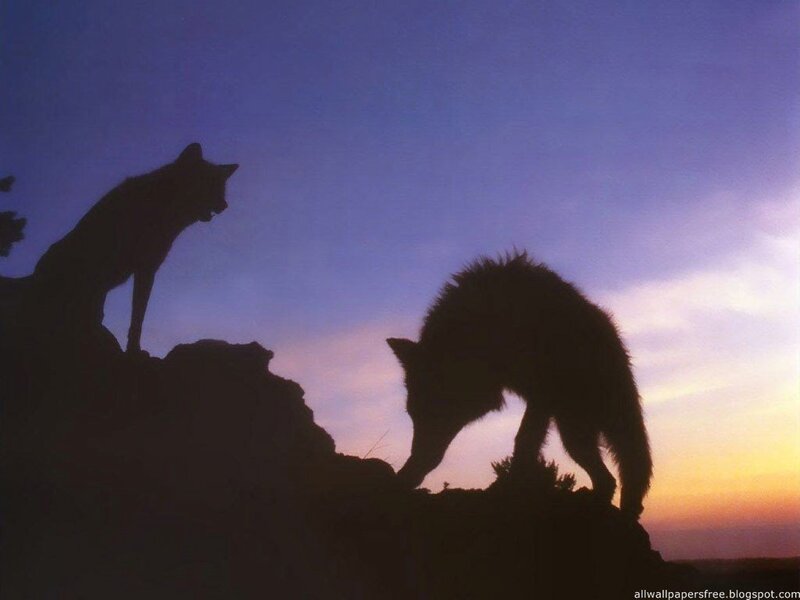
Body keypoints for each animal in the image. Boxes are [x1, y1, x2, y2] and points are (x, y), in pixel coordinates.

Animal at [27, 143, 238, 353]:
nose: (225, 205)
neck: (162, 209)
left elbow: (138, 317)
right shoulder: (115, 265)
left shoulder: (148, 268)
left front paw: (133, 348)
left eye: (222, 188)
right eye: (208, 184)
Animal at [387, 252, 652, 516]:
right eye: (412, 413)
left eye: (439, 409)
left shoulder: (542, 393)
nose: (412, 470)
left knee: (630, 462)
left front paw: (513, 483)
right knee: (607, 479)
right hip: (574, 431)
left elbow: (524, 440)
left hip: (596, 418)